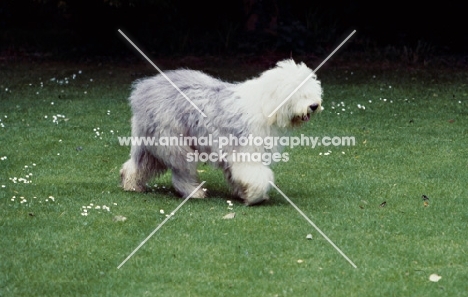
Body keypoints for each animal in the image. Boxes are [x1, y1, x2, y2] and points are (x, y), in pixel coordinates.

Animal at [120, 59, 322, 205]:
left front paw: (243, 193)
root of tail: (143, 90)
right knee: (181, 175)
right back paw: (195, 192)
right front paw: (254, 197)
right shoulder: (245, 153)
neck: (266, 105)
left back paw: (131, 184)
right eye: (297, 91)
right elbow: (258, 177)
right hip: (175, 144)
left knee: (137, 165)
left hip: (151, 143)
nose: (314, 105)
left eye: (312, 89)